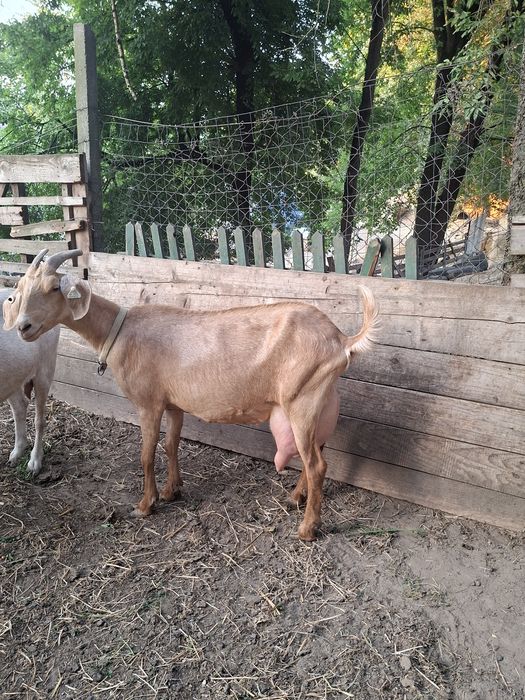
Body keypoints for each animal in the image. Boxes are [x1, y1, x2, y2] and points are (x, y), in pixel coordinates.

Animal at [0, 287, 59, 474]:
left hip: (45, 369)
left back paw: (34, 462)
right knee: (20, 405)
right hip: (12, 376)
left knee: (39, 420)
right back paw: (17, 453)